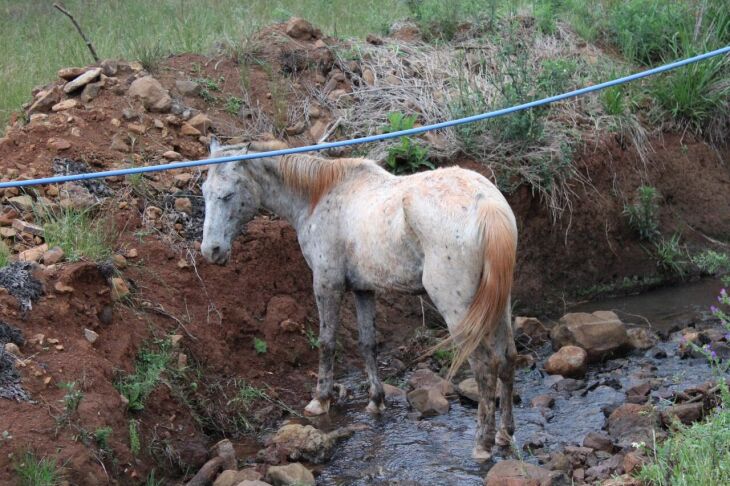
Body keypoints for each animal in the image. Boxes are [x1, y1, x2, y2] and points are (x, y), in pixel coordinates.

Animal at [199, 140, 516, 460]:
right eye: (204, 192)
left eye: (227, 195)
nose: (211, 250)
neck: (319, 195)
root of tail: (485, 203)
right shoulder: (364, 290)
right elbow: (368, 344)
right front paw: (376, 401)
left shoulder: (327, 284)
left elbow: (326, 342)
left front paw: (320, 400)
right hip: (499, 306)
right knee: (506, 359)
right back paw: (504, 434)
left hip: (457, 308)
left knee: (484, 367)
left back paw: (482, 444)